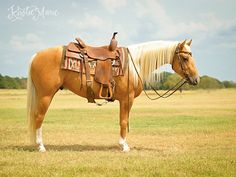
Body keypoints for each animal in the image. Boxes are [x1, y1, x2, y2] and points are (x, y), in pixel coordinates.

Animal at [26, 38, 199, 152]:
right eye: (185, 57)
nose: (196, 79)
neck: (135, 64)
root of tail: (36, 55)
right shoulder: (127, 99)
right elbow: (123, 121)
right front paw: (124, 146)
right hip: (45, 95)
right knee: (39, 117)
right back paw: (41, 146)